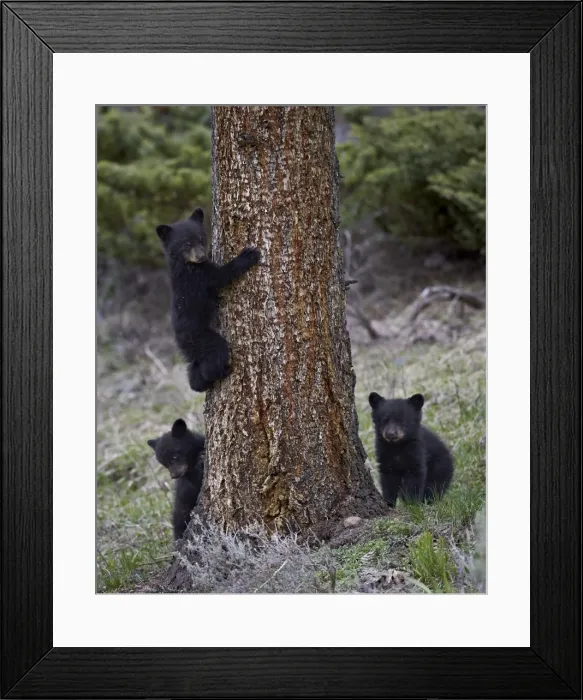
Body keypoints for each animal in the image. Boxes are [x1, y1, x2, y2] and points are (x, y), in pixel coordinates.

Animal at [156, 207, 261, 392]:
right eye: (186, 244)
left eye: (201, 239)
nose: (201, 256)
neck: (185, 264)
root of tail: (179, 341)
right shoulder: (198, 277)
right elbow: (221, 276)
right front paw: (248, 255)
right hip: (201, 338)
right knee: (215, 354)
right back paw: (222, 371)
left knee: (194, 367)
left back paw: (197, 383)